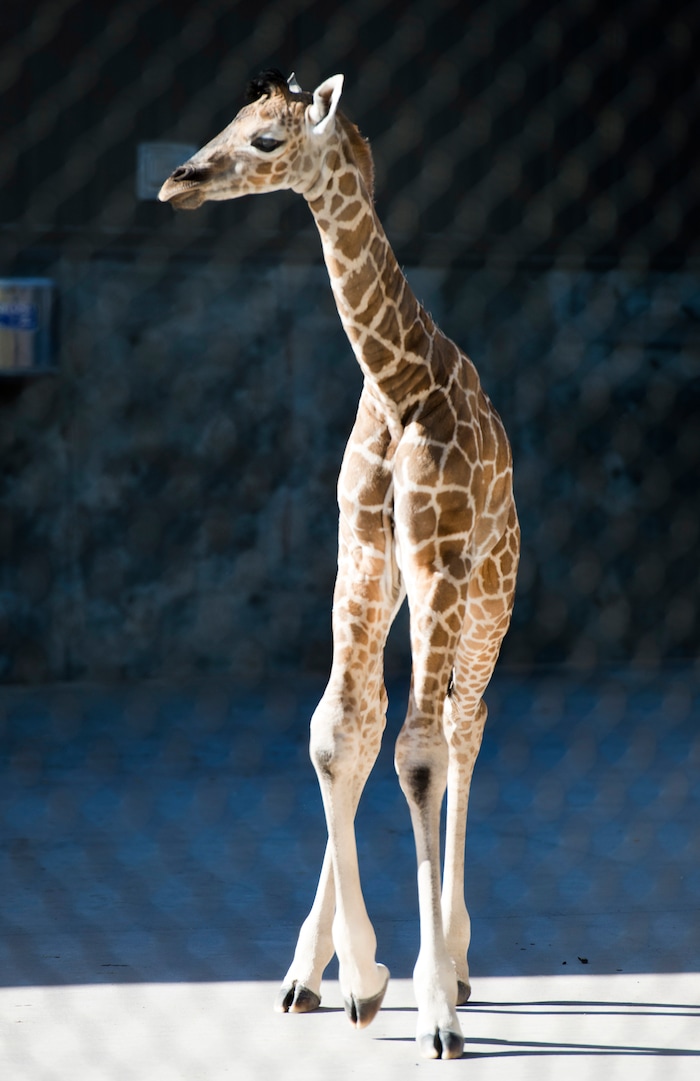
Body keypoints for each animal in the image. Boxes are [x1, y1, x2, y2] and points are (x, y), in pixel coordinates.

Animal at [159, 69, 519, 1060]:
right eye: (233, 121)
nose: (178, 181)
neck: (398, 383)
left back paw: (459, 962)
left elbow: (420, 757)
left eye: (268, 141)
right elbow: (337, 734)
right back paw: (317, 971)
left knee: (462, 723)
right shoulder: (359, 552)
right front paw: (352, 974)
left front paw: (432, 1006)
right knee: (380, 719)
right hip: (404, 588)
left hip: (489, 591)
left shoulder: (437, 561)